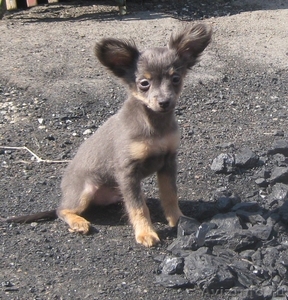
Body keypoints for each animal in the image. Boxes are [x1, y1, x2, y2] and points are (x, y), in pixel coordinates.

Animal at [3, 24, 212, 247]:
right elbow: (138, 207)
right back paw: (78, 222)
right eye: (144, 83)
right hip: (85, 191)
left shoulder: (168, 162)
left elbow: (170, 194)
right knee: (62, 210)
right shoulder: (127, 171)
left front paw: (178, 219)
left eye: (175, 79)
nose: (164, 102)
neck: (154, 124)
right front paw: (145, 232)